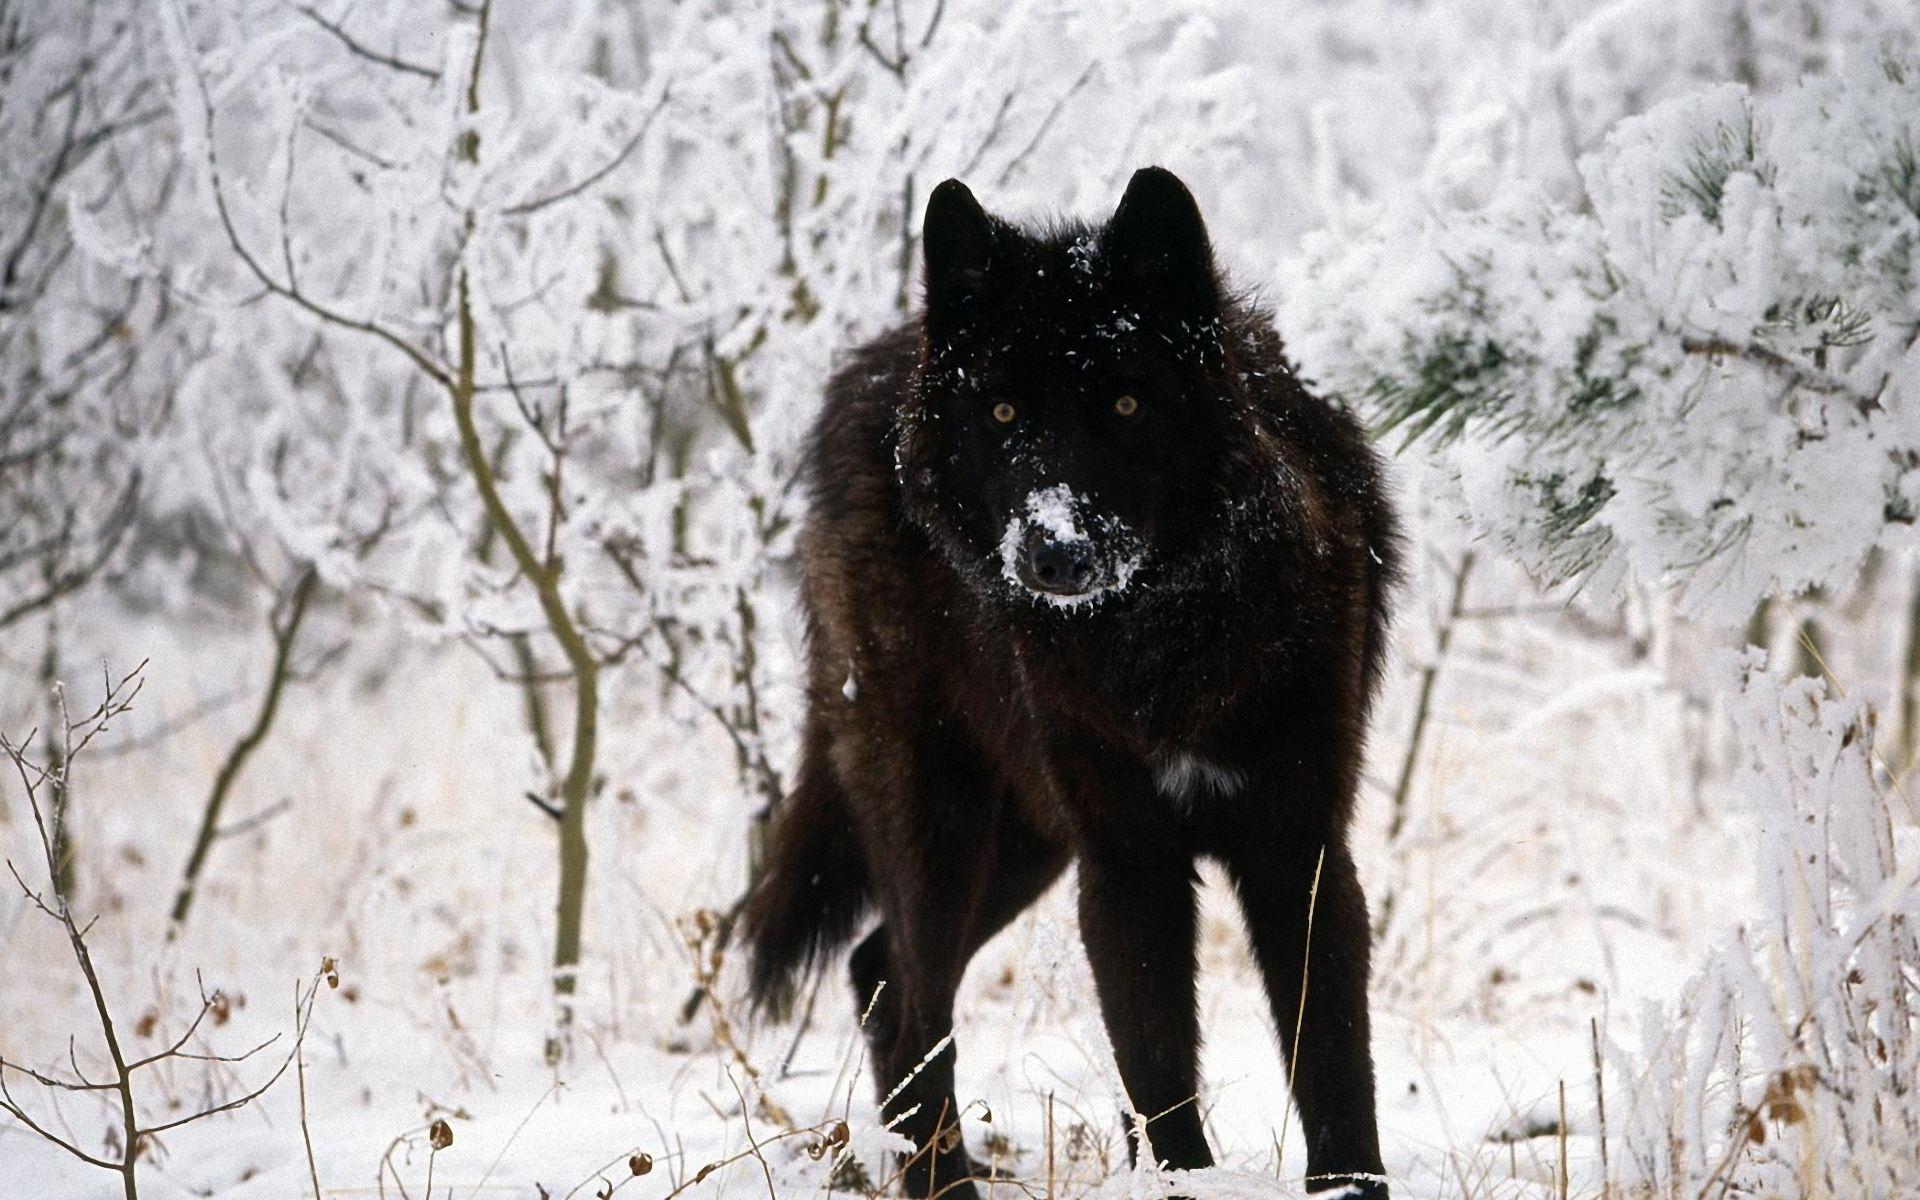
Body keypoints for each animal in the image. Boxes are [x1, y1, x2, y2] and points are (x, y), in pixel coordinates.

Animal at [744, 166, 1397, 1198]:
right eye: (1004, 414)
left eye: (1127, 408)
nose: (1054, 551)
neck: (1163, 645)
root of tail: (875, 366)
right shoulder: (1126, 863)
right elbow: (1158, 1077)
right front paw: (1179, 1183)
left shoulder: (1298, 848)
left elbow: (1334, 1068)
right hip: (943, 826)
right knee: (912, 997)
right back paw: (946, 1186)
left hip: (1025, 844)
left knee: (876, 972)